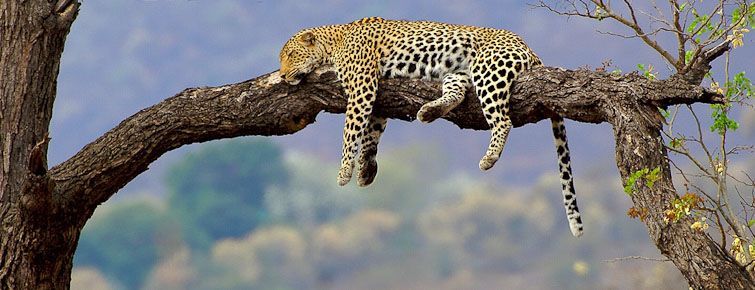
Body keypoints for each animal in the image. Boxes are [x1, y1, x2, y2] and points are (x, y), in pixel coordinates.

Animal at [280, 17, 584, 237]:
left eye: (291, 55)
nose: (282, 76)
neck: (335, 41)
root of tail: (529, 48)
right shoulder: (376, 97)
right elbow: (371, 131)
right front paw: (366, 168)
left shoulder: (362, 89)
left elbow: (351, 130)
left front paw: (344, 171)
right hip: (457, 73)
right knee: (458, 94)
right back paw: (428, 111)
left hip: (487, 70)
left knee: (502, 119)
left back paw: (489, 157)